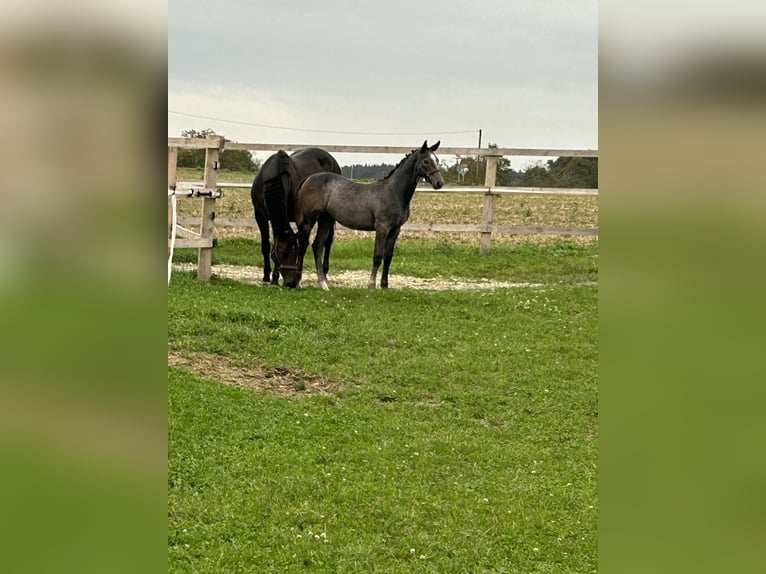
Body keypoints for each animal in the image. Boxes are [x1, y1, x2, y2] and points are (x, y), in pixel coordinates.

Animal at [250, 146, 340, 286]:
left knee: (326, 241)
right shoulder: (260, 216)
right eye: (284, 253)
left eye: (295, 253)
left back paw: (323, 273)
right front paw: (266, 276)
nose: (291, 283)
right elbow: (266, 245)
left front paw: (275, 277)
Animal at [296, 140, 448, 292]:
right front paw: (371, 285)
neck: (394, 192)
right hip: (309, 220)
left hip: (326, 220)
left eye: (437, 160)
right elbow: (378, 256)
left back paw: (323, 284)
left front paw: (384, 285)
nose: (439, 183)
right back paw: (298, 281)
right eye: (426, 161)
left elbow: (388, 256)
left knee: (317, 246)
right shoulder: (382, 228)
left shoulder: (395, 229)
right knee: (304, 244)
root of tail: (308, 179)